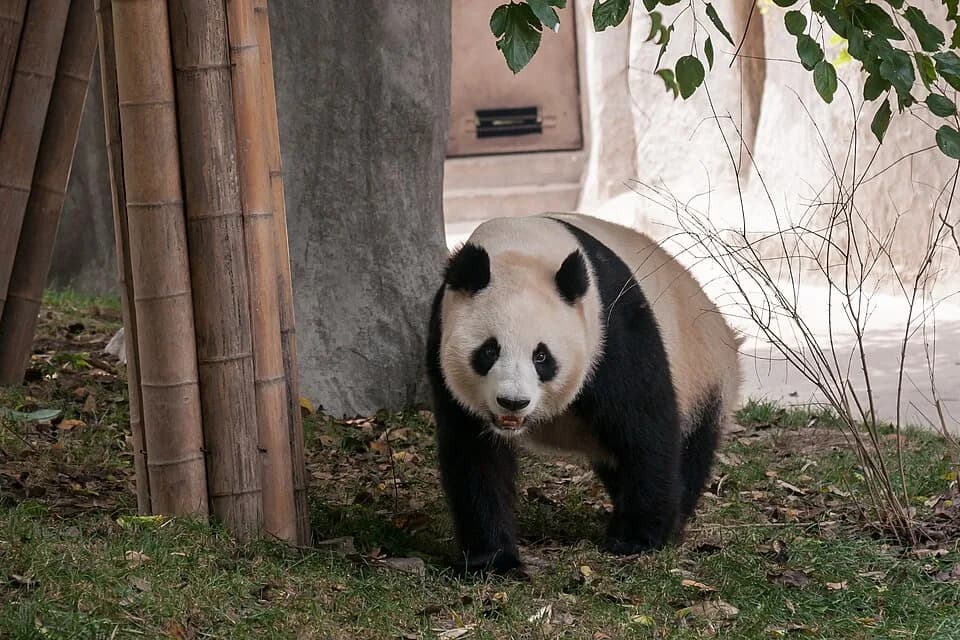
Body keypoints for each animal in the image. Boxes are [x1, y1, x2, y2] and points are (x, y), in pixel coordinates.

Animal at [425, 213, 742, 573]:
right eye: (489, 351)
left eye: (541, 356)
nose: (513, 403)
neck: (520, 247)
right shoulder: (441, 339)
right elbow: (475, 455)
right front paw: (492, 559)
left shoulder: (611, 329)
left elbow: (645, 429)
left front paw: (636, 538)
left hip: (703, 376)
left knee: (690, 447)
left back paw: (673, 521)